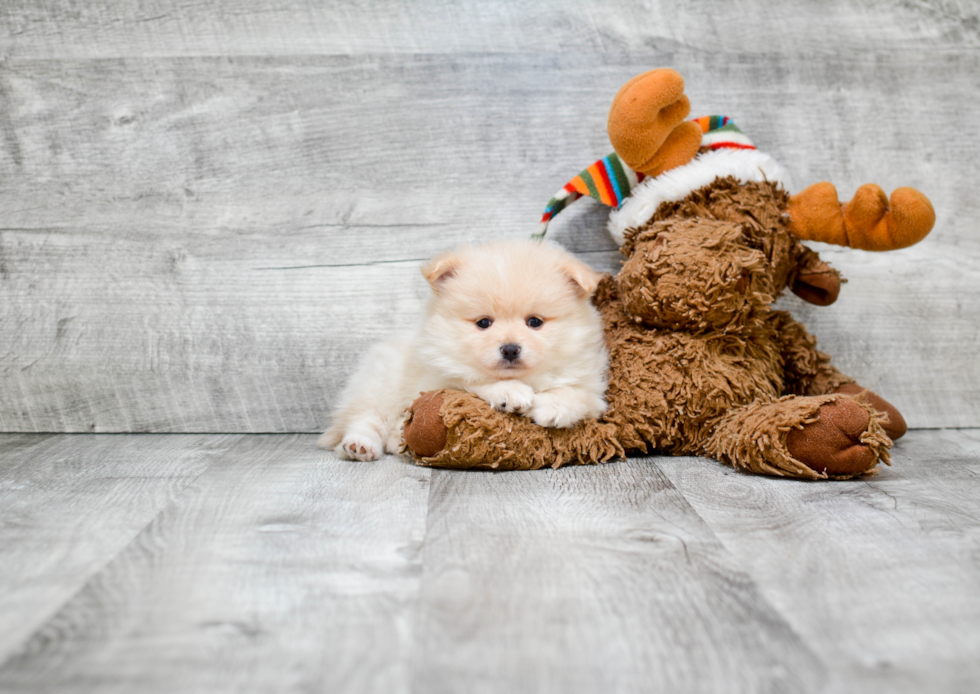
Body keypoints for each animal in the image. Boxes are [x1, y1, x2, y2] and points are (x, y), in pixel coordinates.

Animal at [318, 239, 608, 462]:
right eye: (483, 323)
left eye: (535, 322)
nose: (510, 349)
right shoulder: (434, 380)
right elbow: (469, 379)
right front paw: (508, 391)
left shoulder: (592, 388)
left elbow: (578, 394)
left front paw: (552, 407)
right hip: (379, 383)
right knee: (365, 419)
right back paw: (360, 445)